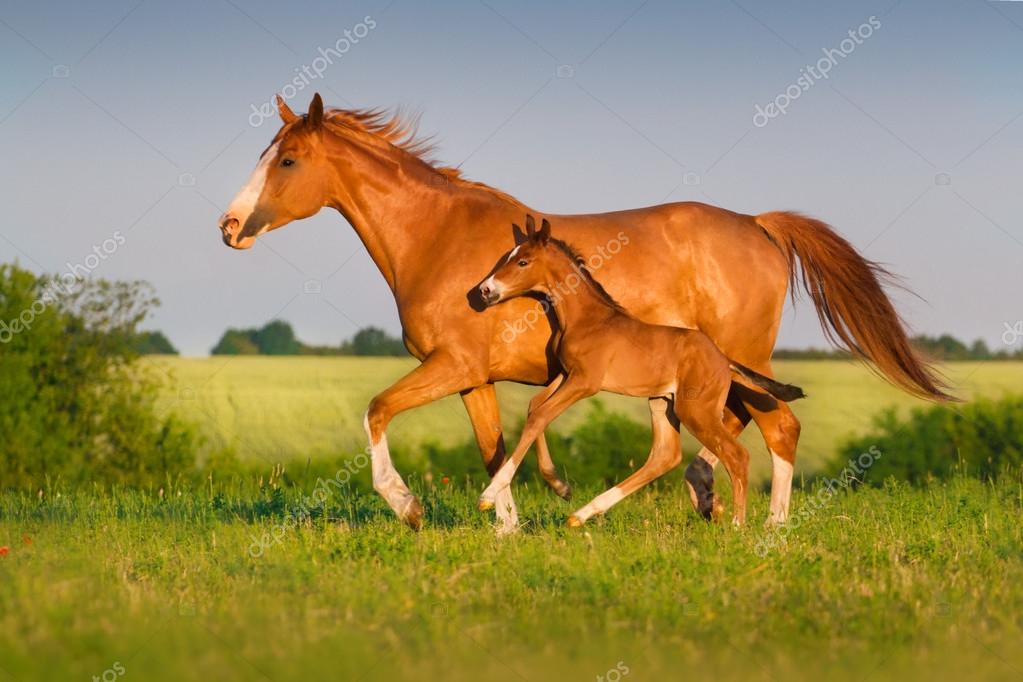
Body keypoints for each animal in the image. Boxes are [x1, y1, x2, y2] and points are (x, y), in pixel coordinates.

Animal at [474, 216, 806, 526]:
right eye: (507, 256)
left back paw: (738, 525)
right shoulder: (565, 376)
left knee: (737, 455)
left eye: (522, 261)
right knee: (665, 455)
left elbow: (541, 415)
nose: (485, 290)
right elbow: (534, 409)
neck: (586, 318)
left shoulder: (585, 381)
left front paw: (489, 495)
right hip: (663, 402)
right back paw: (582, 514)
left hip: (696, 410)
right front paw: (561, 487)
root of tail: (724, 360)